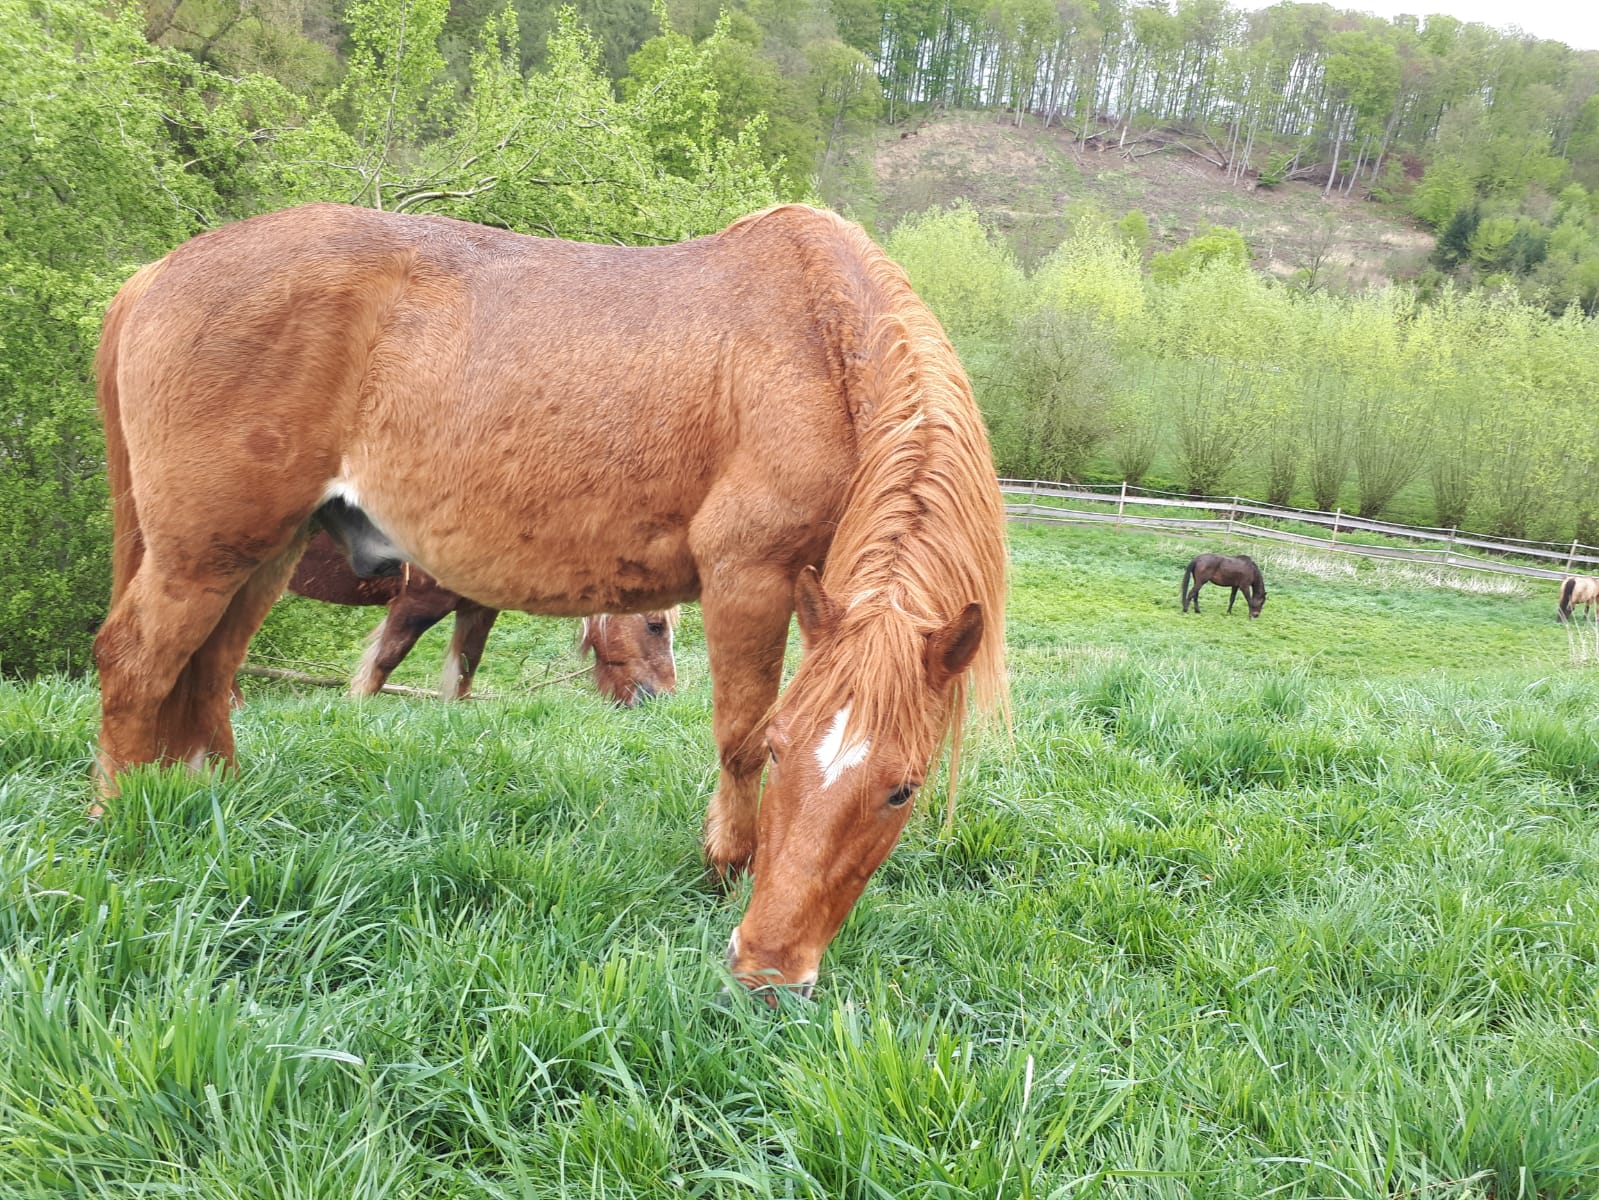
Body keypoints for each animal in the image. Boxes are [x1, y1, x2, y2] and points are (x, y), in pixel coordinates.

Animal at [284, 531, 677, 710]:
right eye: (655, 626)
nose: (664, 698)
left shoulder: (478, 609)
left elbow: (466, 668)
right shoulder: (419, 601)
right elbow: (381, 665)